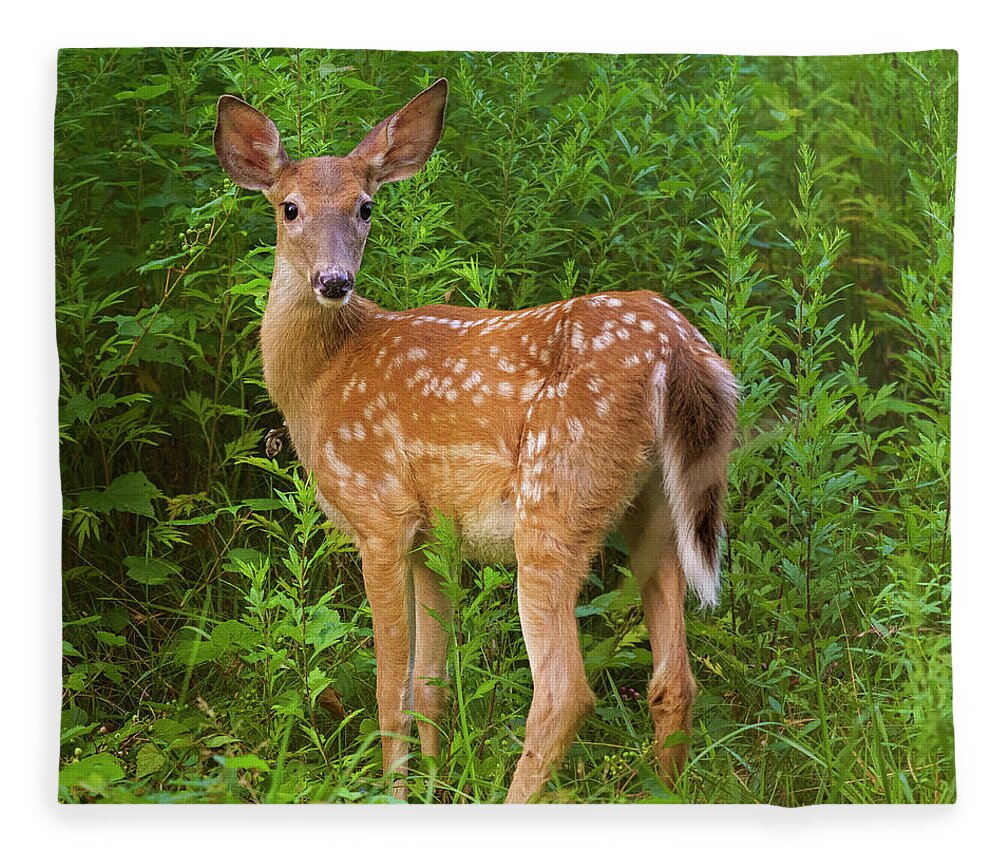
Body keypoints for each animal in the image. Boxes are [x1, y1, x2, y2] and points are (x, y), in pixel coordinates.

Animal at [215, 77, 740, 804]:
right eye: (289, 208)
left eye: (366, 207)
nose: (333, 281)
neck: (321, 379)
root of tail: (680, 350)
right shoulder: (434, 538)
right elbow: (430, 686)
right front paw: (433, 786)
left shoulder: (379, 512)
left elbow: (390, 688)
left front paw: (395, 792)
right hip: (654, 509)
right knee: (674, 680)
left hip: (553, 498)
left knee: (564, 691)